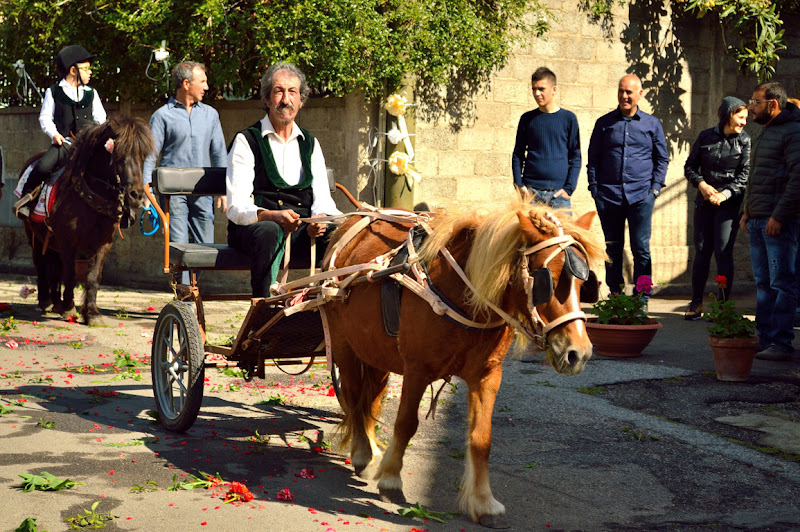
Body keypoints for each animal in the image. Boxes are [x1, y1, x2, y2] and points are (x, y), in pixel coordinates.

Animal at [22, 115, 153, 324]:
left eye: (143, 156)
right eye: (119, 154)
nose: (137, 195)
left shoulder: (103, 243)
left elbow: (93, 276)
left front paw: (91, 312)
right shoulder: (67, 241)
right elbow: (70, 274)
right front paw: (69, 308)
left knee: (54, 266)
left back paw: (56, 302)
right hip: (33, 234)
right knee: (41, 263)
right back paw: (46, 301)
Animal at [322, 195, 604, 528]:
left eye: (584, 285)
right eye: (549, 280)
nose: (579, 353)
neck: (464, 293)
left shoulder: (486, 375)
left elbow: (481, 438)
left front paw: (483, 502)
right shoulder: (417, 370)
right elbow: (406, 424)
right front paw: (391, 480)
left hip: (375, 352)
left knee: (370, 401)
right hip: (344, 345)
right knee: (354, 398)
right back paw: (363, 454)